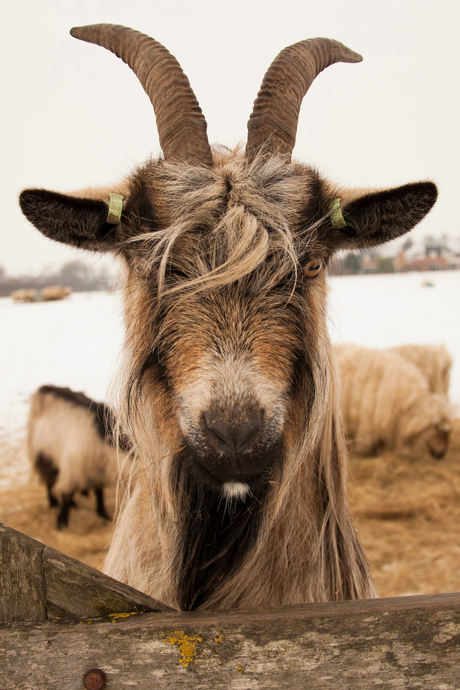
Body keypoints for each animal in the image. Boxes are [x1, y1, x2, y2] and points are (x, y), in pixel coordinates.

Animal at [27, 382, 128, 528]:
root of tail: (44, 388)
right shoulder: (73, 470)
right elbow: (66, 494)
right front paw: (61, 522)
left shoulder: (96, 472)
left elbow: (99, 493)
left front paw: (103, 513)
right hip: (44, 454)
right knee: (49, 480)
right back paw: (53, 503)